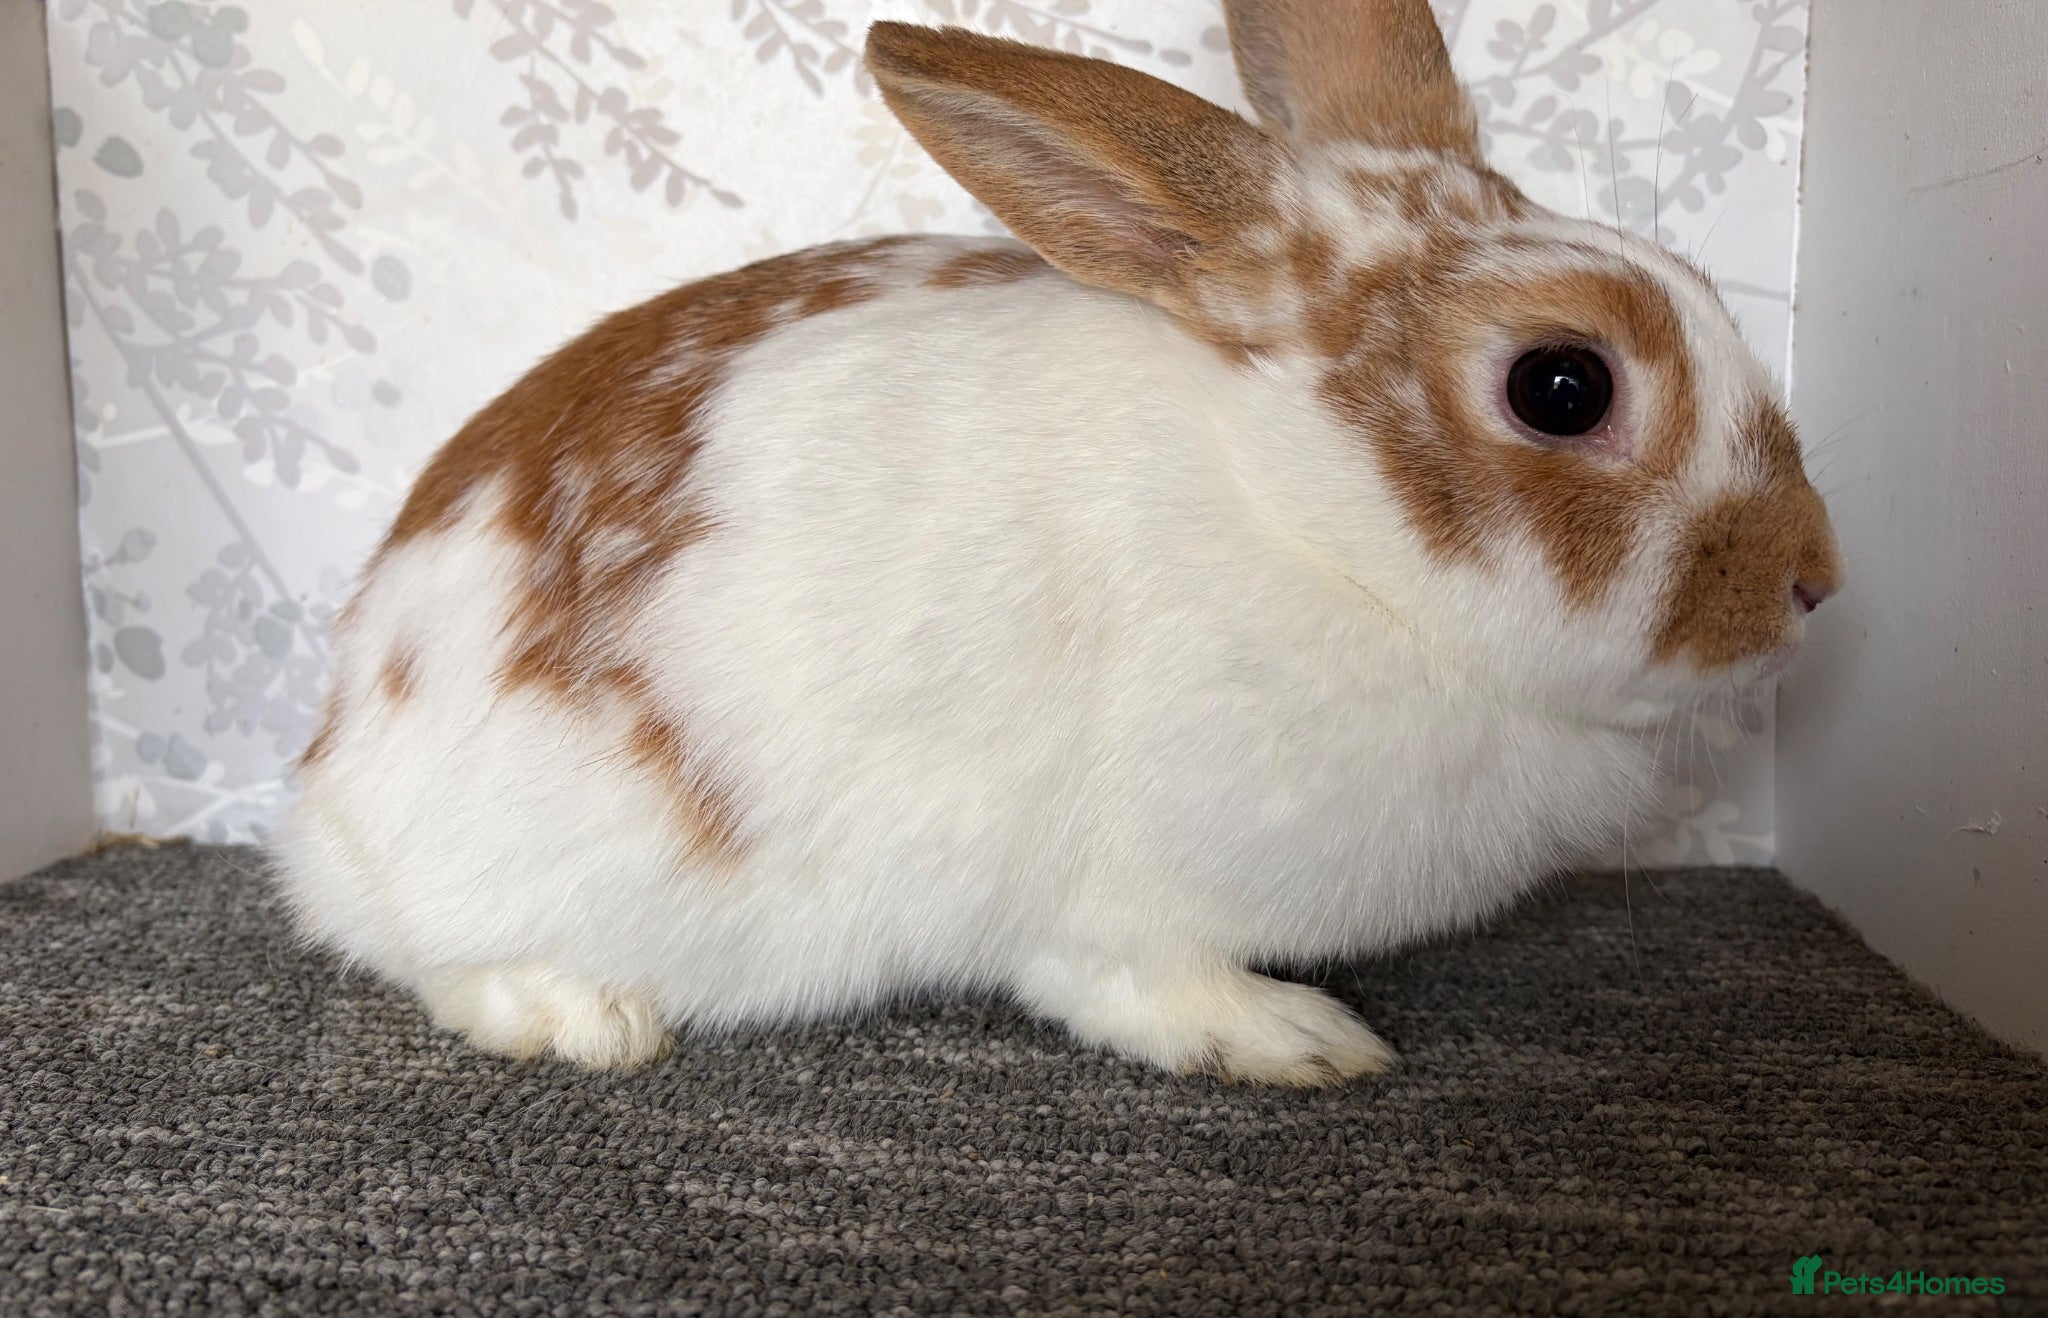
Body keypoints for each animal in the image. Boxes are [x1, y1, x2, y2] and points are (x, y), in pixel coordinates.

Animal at [271, 0, 1840, 1087]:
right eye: (1561, 386)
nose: (1814, 583)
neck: (1317, 519)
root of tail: (329, 785)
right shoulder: (1130, 896)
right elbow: (1138, 986)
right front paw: (1297, 1041)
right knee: (434, 960)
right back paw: (585, 1017)